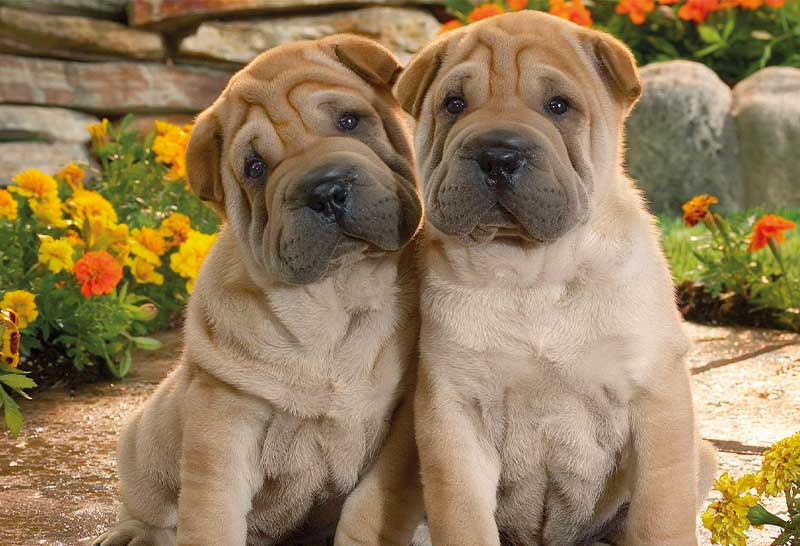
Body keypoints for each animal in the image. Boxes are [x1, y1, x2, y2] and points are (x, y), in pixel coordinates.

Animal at [92, 35, 424, 544]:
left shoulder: (400, 431)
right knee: (151, 504)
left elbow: (367, 511)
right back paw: (134, 533)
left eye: (349, 121)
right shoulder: (223, 417)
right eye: (254, 168)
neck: (335, 298)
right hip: (146, 436)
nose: (325, 191)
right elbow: (210, 513)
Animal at [400, 9, 720, 544]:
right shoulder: (455, 412)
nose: (497, 154)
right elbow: (462, 515)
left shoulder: (654, 396)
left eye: (558, 106)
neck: (532, 277)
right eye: (454, 104)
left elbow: (660, 511)